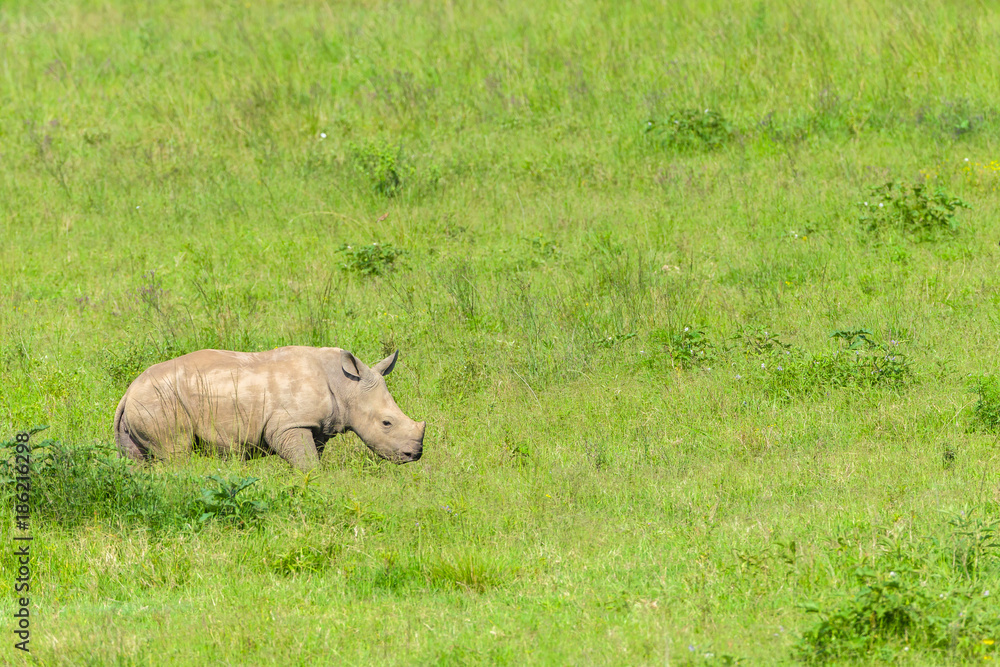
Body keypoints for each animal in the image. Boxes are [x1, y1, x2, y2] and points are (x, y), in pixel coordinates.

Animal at [113, 347, 425, 471]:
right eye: (386, 423)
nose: (415, 455)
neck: (346, 385)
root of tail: (128, 391)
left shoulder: (316, 427)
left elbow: (312, 456)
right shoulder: (290, 423)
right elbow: (307, 462)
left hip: (146, 401)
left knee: (137, 460)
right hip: (159, 400)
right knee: (177, 453)